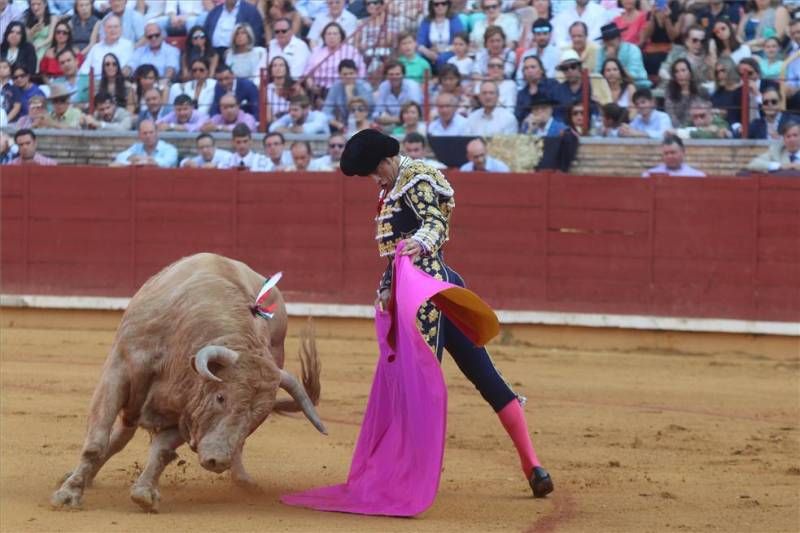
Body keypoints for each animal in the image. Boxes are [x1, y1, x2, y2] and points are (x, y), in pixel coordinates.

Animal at [50, 254, 324, 512]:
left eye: (258, 417)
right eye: (220, 397)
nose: (218, 461)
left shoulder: (187, 412)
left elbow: (161, 451)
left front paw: (144, 493)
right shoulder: (118, 370)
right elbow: (96, 441)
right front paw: (68, 495)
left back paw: (243, 480)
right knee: (120, 434)